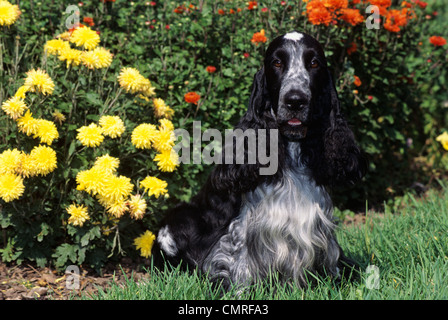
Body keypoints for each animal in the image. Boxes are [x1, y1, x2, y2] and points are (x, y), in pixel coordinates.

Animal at [151, 30, 368, 290]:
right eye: (277, 63)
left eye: (314, 63)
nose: (295, 100)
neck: (292, 151)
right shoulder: (241, 229)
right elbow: (240, 262)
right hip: (178, 223)